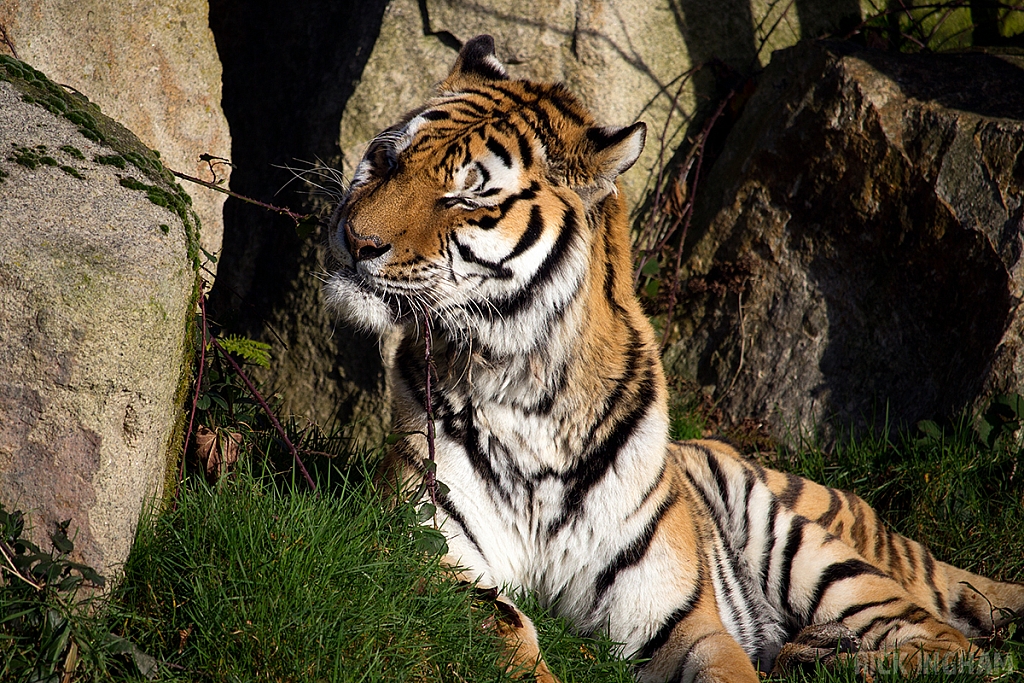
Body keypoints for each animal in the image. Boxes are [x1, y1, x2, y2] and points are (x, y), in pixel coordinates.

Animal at [325, 36, 1024, 683]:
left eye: (467, 199)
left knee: (948, 643)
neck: (522, 381)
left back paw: (834, 656)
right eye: (387, 158)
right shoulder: (422, 552)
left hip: (804, 545)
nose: (355, 239)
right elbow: (502, 629)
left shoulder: (684, 621)